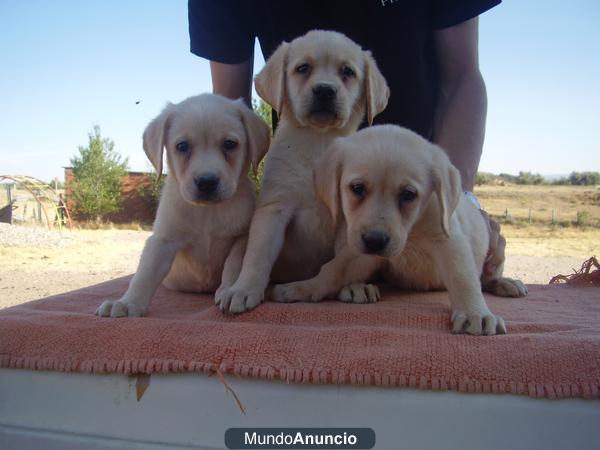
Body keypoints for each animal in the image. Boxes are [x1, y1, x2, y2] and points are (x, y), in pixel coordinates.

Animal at [96, 93, 270, 318]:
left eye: (230, 144)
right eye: (182, 146)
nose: (207, 182)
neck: (207, 213)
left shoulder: (241, 237)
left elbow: (233, 264)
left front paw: (231, 290)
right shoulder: (162, 240)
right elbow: (144, 275)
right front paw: (127, 303)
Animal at [216, 29, 390, 314]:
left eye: (347, 71)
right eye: (303, 68)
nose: (325, 91)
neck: (318, 141)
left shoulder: (348, 218)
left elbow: (346, 261)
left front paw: (353, 286)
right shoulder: (273, 209)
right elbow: (258, 255)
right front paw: (245, 289)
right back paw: (229, 288)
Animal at [274, 125, 528, 336]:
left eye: (408, 194)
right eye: (357, 188)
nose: (375, 241)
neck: (411, 231)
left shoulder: (450, 241)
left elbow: (463, 278)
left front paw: (476, 313)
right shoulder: (358, 249)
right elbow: (333, 270)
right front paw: (303, 287)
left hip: (495, 255)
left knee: (487, 278)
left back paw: (506, 283)